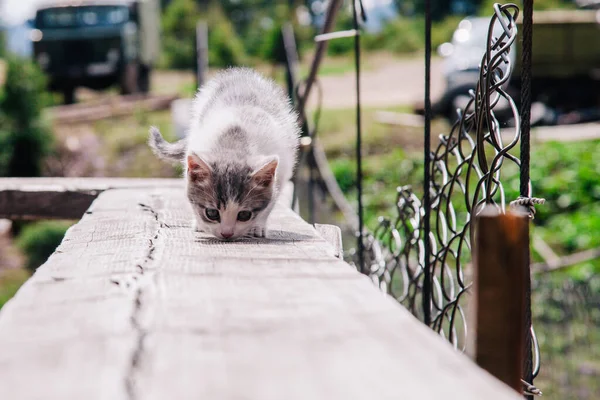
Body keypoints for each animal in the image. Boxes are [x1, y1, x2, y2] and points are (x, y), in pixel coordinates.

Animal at [149, 67, 298, 239]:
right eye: (212, 213)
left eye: (244, 215)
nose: (227, 233)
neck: (235, 141)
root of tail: (241, 73)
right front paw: (200, 224)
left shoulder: (282, 168)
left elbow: (271, 201)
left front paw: (258, 226)